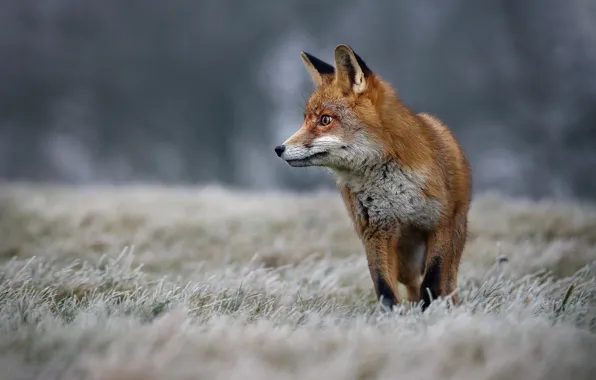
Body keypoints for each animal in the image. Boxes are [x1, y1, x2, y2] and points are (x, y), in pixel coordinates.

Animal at [272, 45, 472, 312]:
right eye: (305, 119)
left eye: (325, 119)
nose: (279, 149)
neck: (393, 192)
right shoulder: (375, 231)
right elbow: (384, 287)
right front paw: (392, 317)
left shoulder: (439, 224)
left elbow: (431, 281)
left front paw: (428, 314)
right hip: (405, 260)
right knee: (411, 284)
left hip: (453, 239)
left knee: (447, 282)